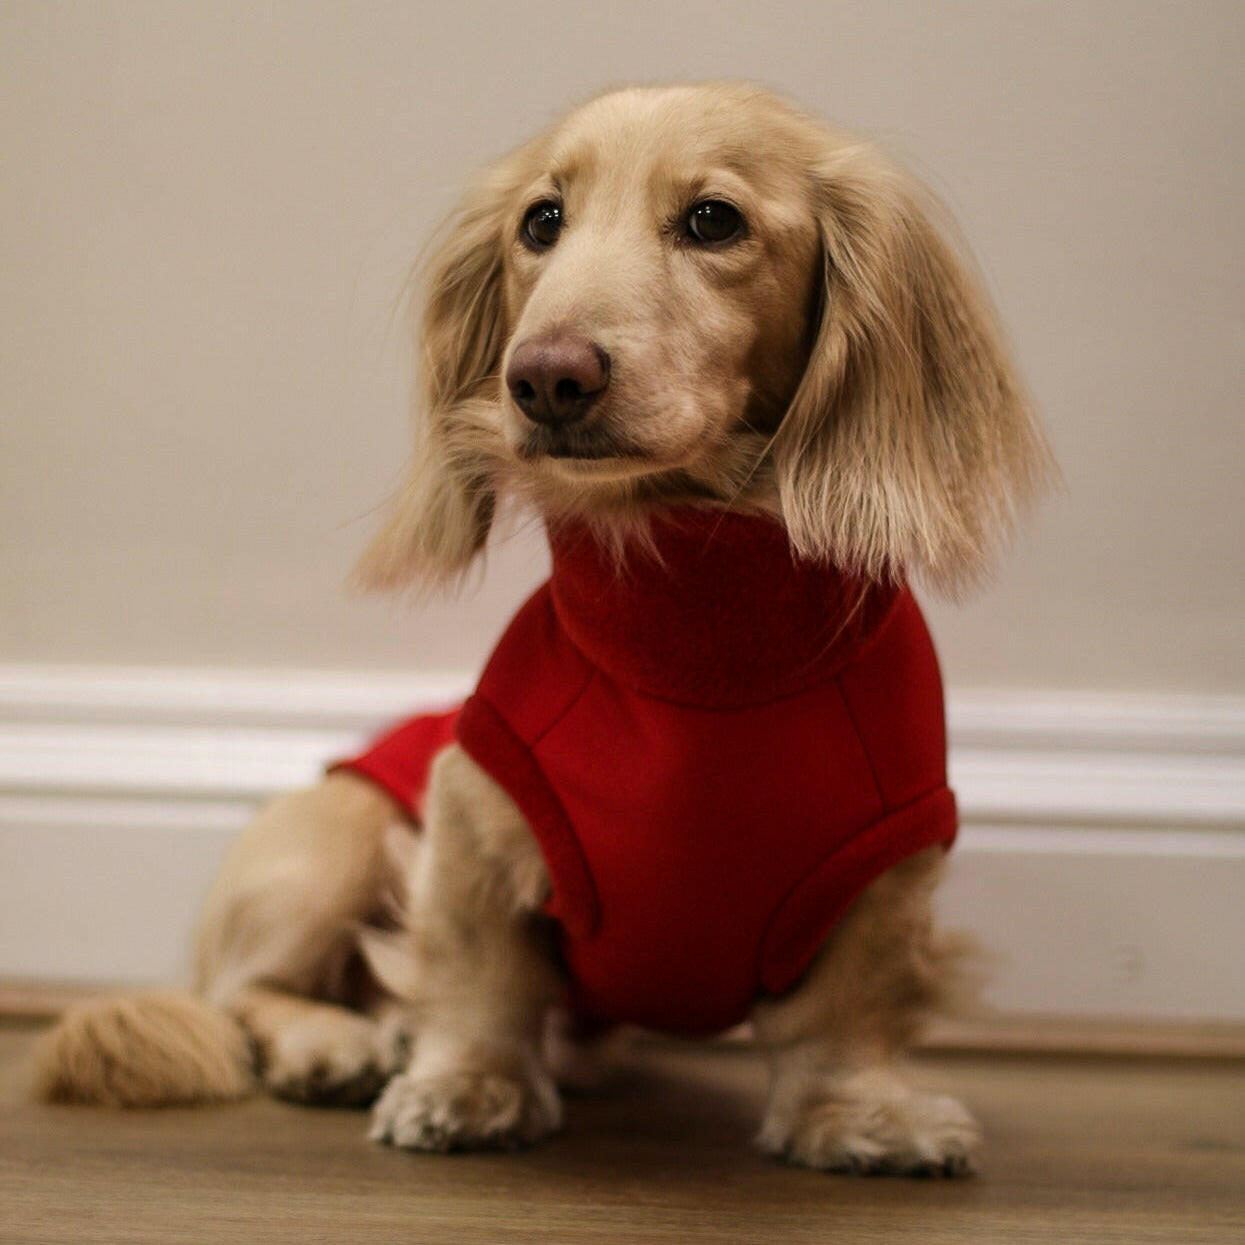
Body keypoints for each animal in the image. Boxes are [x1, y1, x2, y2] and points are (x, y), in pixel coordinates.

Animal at [34, 82, 1050, 1170]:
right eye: (541, 222)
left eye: (713, 220)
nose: (545, 377)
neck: (698, 643)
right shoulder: (475, 809)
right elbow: (480, 976)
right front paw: (465, 1088)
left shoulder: (888, 860)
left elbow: (848, 1010)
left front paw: (858, 1114)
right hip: (334, 838)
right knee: (240, 993)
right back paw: (337, 1043)